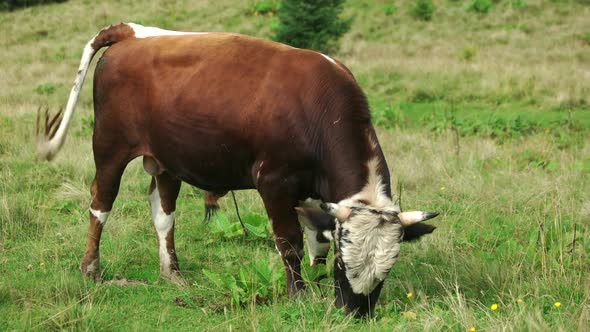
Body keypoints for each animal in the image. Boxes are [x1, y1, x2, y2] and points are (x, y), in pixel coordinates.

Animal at [35, 22, 440, 318]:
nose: (353, 313)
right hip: (110, 148)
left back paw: (172, 273)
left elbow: (317, 241)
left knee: (163, 212)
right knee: (100, 203)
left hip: (166, 158)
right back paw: (91, 269)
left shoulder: (315, 193)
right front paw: (299, 295)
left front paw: (315, 282)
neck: (318, 110)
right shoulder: (275, 183)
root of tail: (132, 32)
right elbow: (290, 243)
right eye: (345, 265)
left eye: (385, 273)